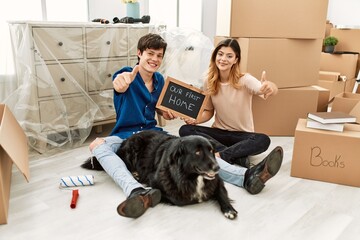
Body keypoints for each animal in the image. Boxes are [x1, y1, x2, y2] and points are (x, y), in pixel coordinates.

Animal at [82, 129, 239, 219]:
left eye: (211, 151)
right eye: (197, 152)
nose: (217, 167)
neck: (191, 176)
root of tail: (127, 139)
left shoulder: (217, 181)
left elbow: (221, 193)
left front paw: (229, 209)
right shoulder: (157, 182)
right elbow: (178, 199)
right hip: (132, 150)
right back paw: (135, 174)